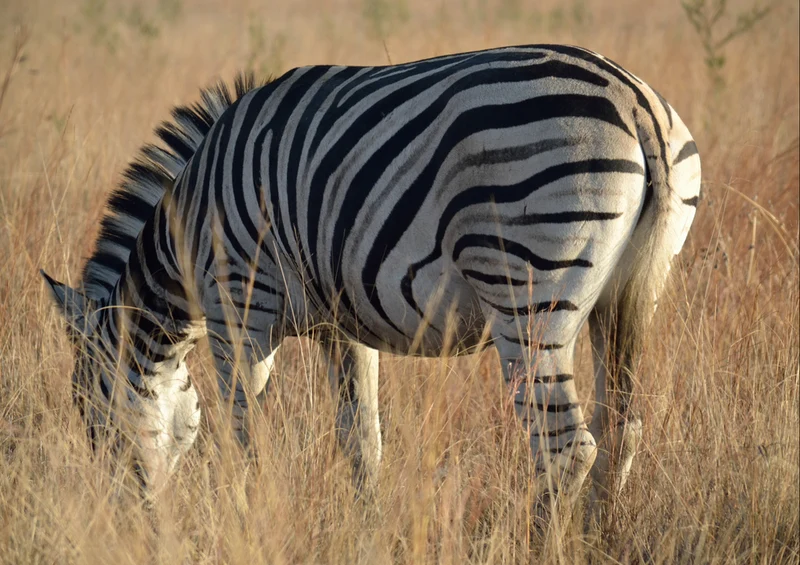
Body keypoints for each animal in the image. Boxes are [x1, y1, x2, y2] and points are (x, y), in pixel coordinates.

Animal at [41, 44, 701, 509]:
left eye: (89, 415)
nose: (129, 517)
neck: (187, 229)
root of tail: (637, 100)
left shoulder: (239, 310)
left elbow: (241, 437)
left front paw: (243, 515)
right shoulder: (345, 325)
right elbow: (362, 443)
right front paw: (366, 527)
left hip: (527, 291)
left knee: (566, 448)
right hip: (632, 294)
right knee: (622, 429)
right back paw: (600, 536)